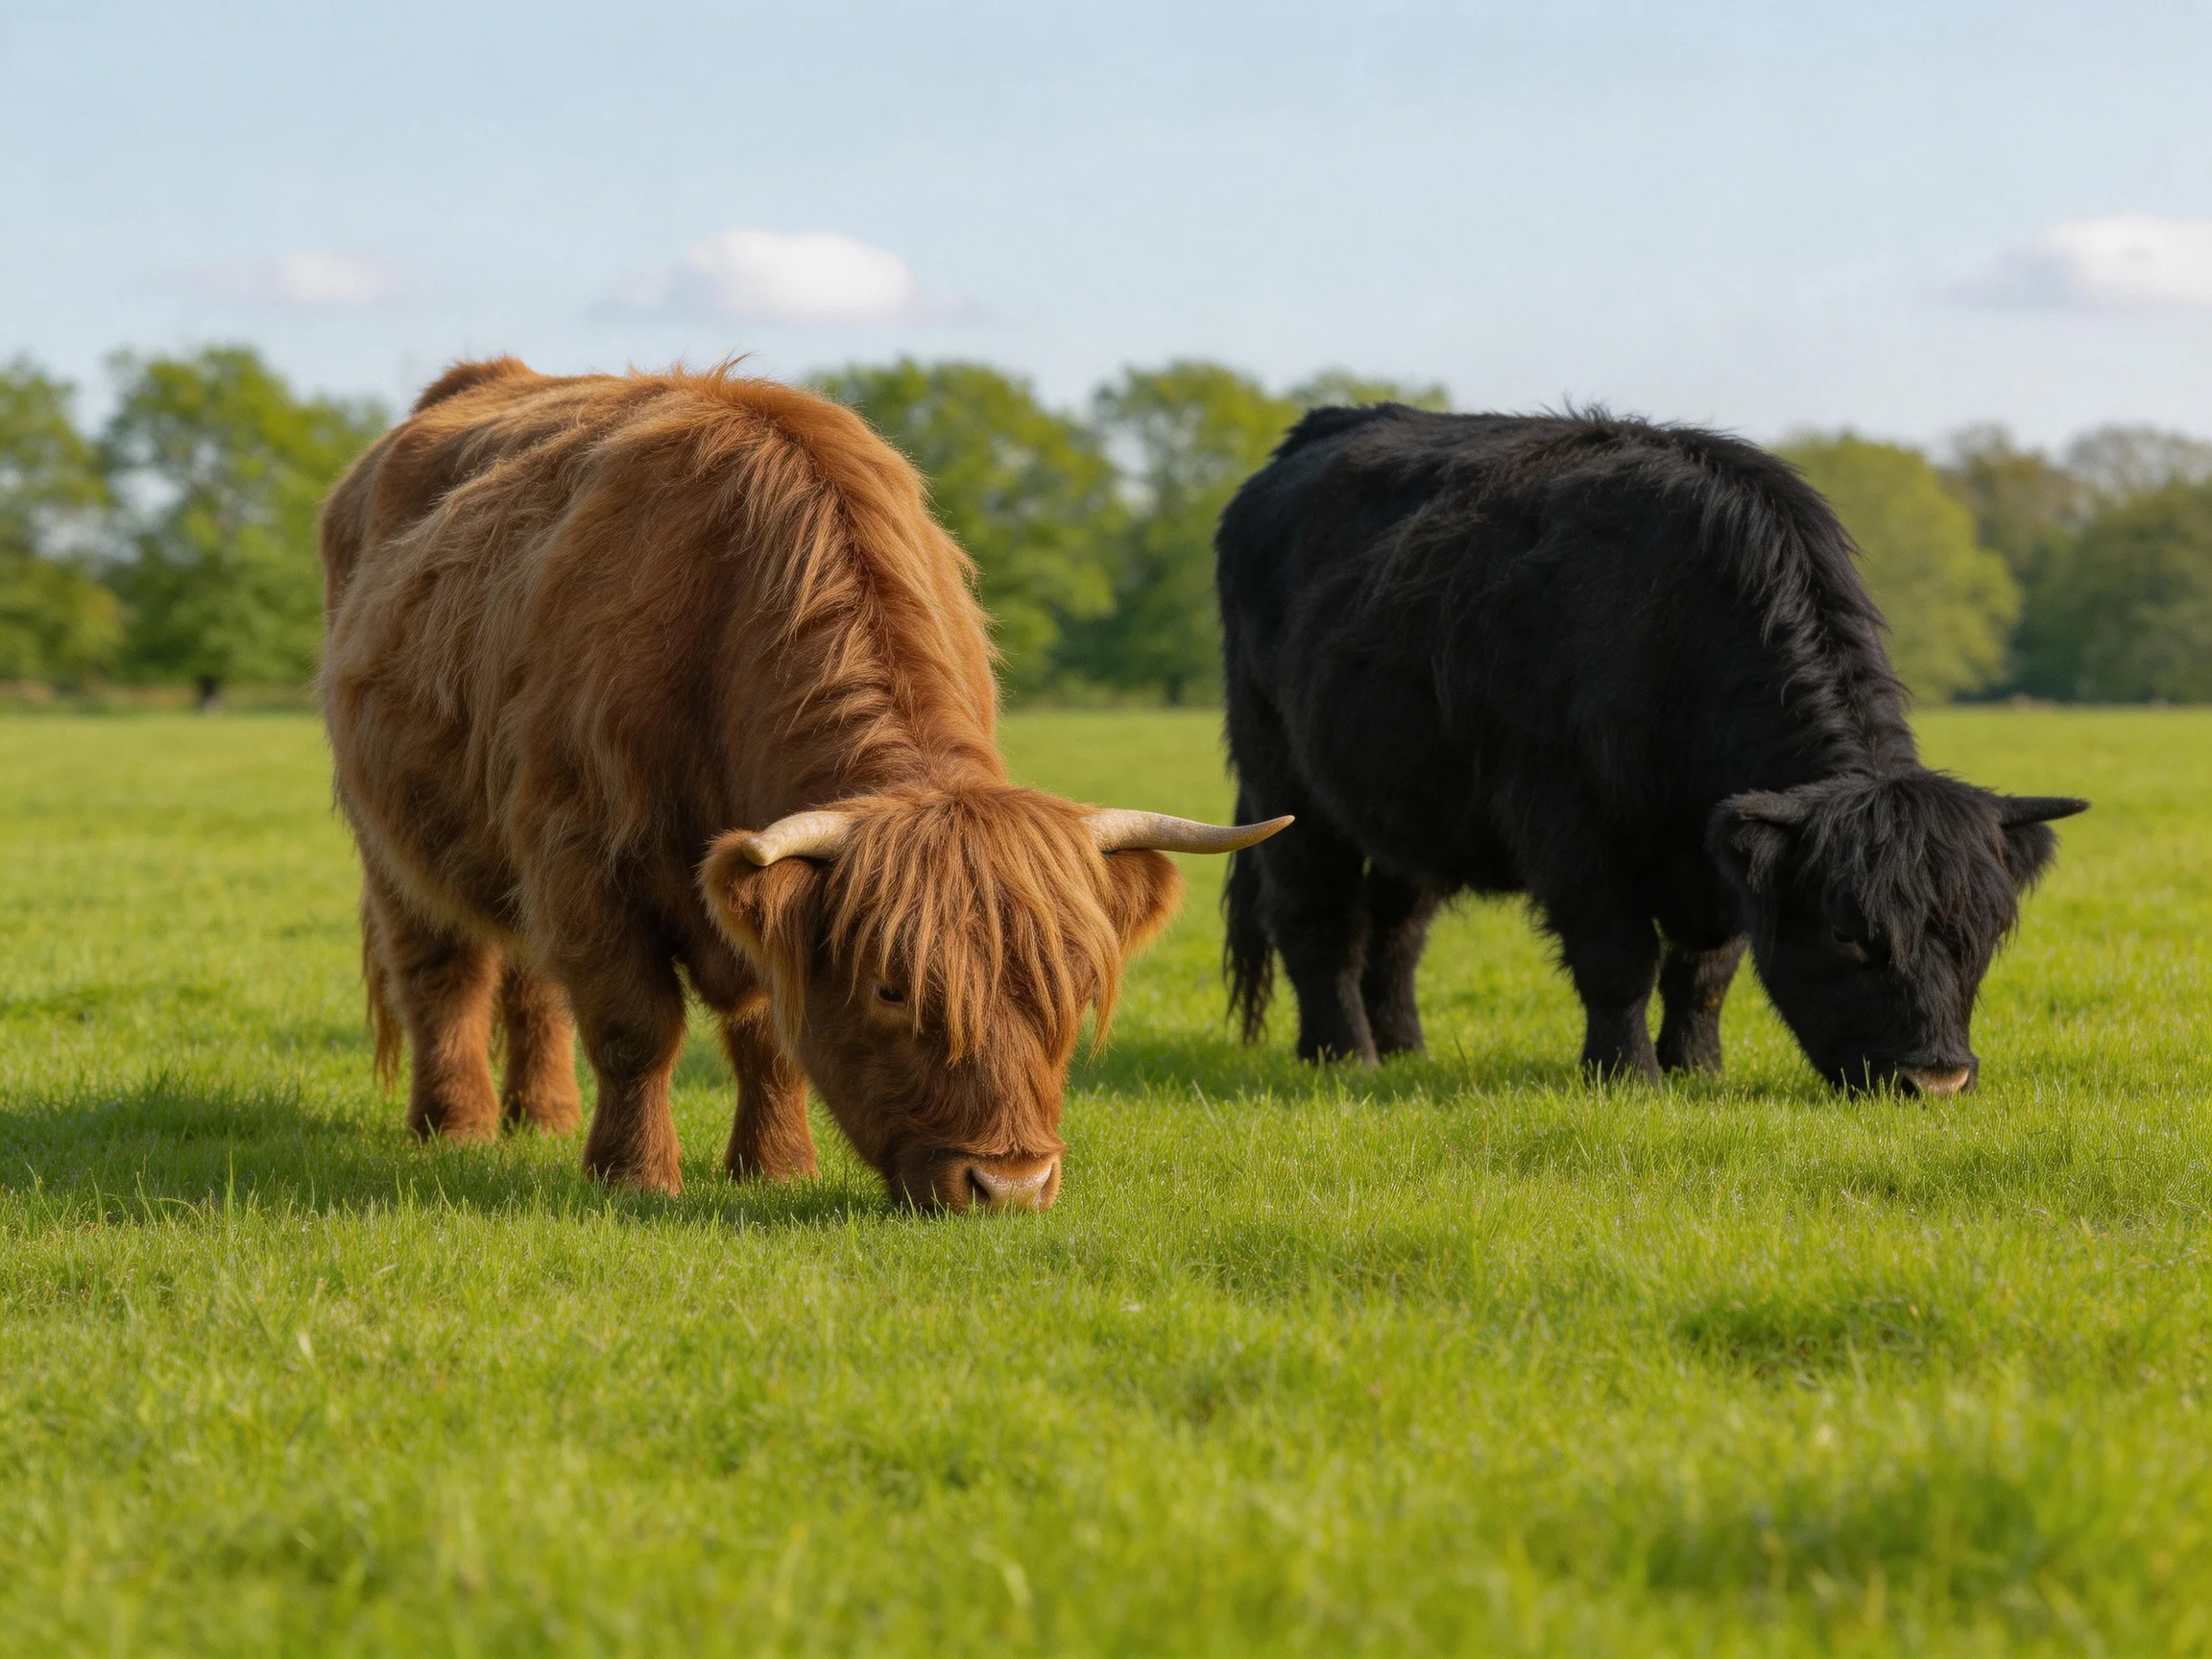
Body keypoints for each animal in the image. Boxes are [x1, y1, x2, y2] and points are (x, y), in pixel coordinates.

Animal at [319, 359, 1286, 1210]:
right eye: (892, 988)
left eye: (1075, 987)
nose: (1010, 1184)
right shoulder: (581, 858)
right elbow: (635, 1028)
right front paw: (634, 1177)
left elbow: (768, 1031)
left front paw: (775, 1168)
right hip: (393, 844)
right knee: (443, 974)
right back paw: (456, 1126)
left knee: (529, 979)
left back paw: (545, 1116)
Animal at [1215, 404, 2085, 1093]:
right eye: (1849, 934)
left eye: (1983, 934)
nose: (1938, 1077)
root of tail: (1326, 425)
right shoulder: (1570, 828)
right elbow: (1619, 959)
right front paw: (1627, 1074)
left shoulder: (1718, 851)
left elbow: (1705, 971)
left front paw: (1697, 1067)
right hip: (1284, 784)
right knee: (1318, 920)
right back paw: (1341, 1055)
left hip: (1407, 806)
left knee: (1396, 930)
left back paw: (1404, 1050)